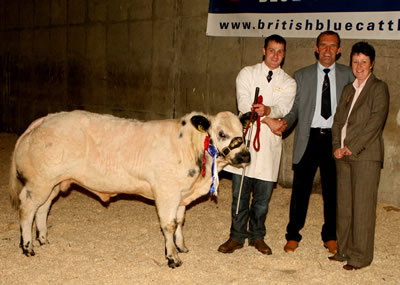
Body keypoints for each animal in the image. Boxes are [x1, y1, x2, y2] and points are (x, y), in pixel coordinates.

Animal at [8, 108, 250, 266]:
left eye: (243, 132)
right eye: (221, 133)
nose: (246, 155)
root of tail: (45, 119)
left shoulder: (181, 194)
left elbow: (180, 222)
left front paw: (181, 247)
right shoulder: (167, 192)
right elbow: (169, 225)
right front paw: (172, 257)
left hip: (53, 183)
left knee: (43, 208)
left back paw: (43, 239)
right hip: (39, 182)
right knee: (27, 208)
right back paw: (28, 246)